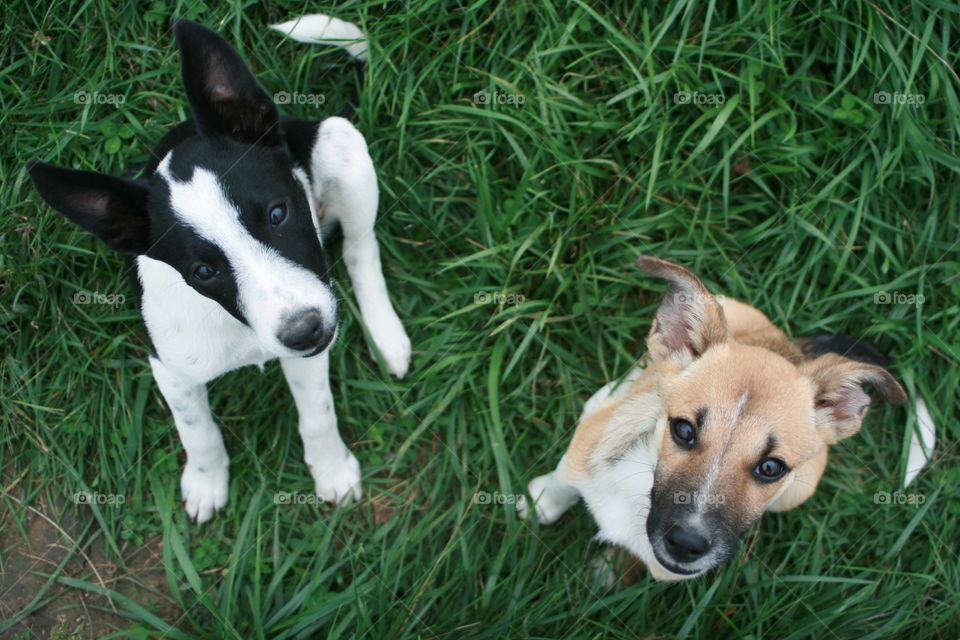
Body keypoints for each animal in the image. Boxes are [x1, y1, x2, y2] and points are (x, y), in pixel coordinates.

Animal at [28, 15, 410, 524]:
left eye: (277, 214)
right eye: (203, 272)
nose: (304, 330)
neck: (238, 328)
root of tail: (294, 122)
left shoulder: (308, 352)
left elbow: (318, 414)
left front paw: (331, 469)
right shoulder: (169, 369)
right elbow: (198, 431)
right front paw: (207, 482)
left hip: (340, 146)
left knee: (360, 249)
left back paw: (385, 335)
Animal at [516, 255, 908, 580]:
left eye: (772, 468)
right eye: (683, 430)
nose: (687, 544)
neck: (639, 485)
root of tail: (793, 350)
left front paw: (610, 571)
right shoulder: (583, 451)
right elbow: (563, 480)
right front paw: (542, 503)